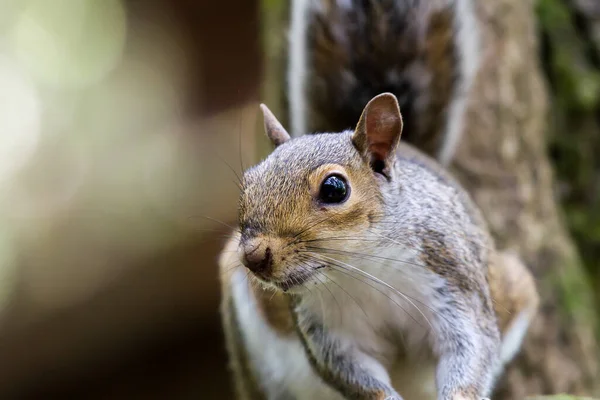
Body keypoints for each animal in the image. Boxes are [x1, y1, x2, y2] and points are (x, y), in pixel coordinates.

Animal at [219, 1, 540, 398]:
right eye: (248, 183)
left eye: (335, 189)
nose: (252, 256)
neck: (363, 269)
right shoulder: (330, 334)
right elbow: (355, 376)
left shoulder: (454, 284)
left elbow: (472, 350)